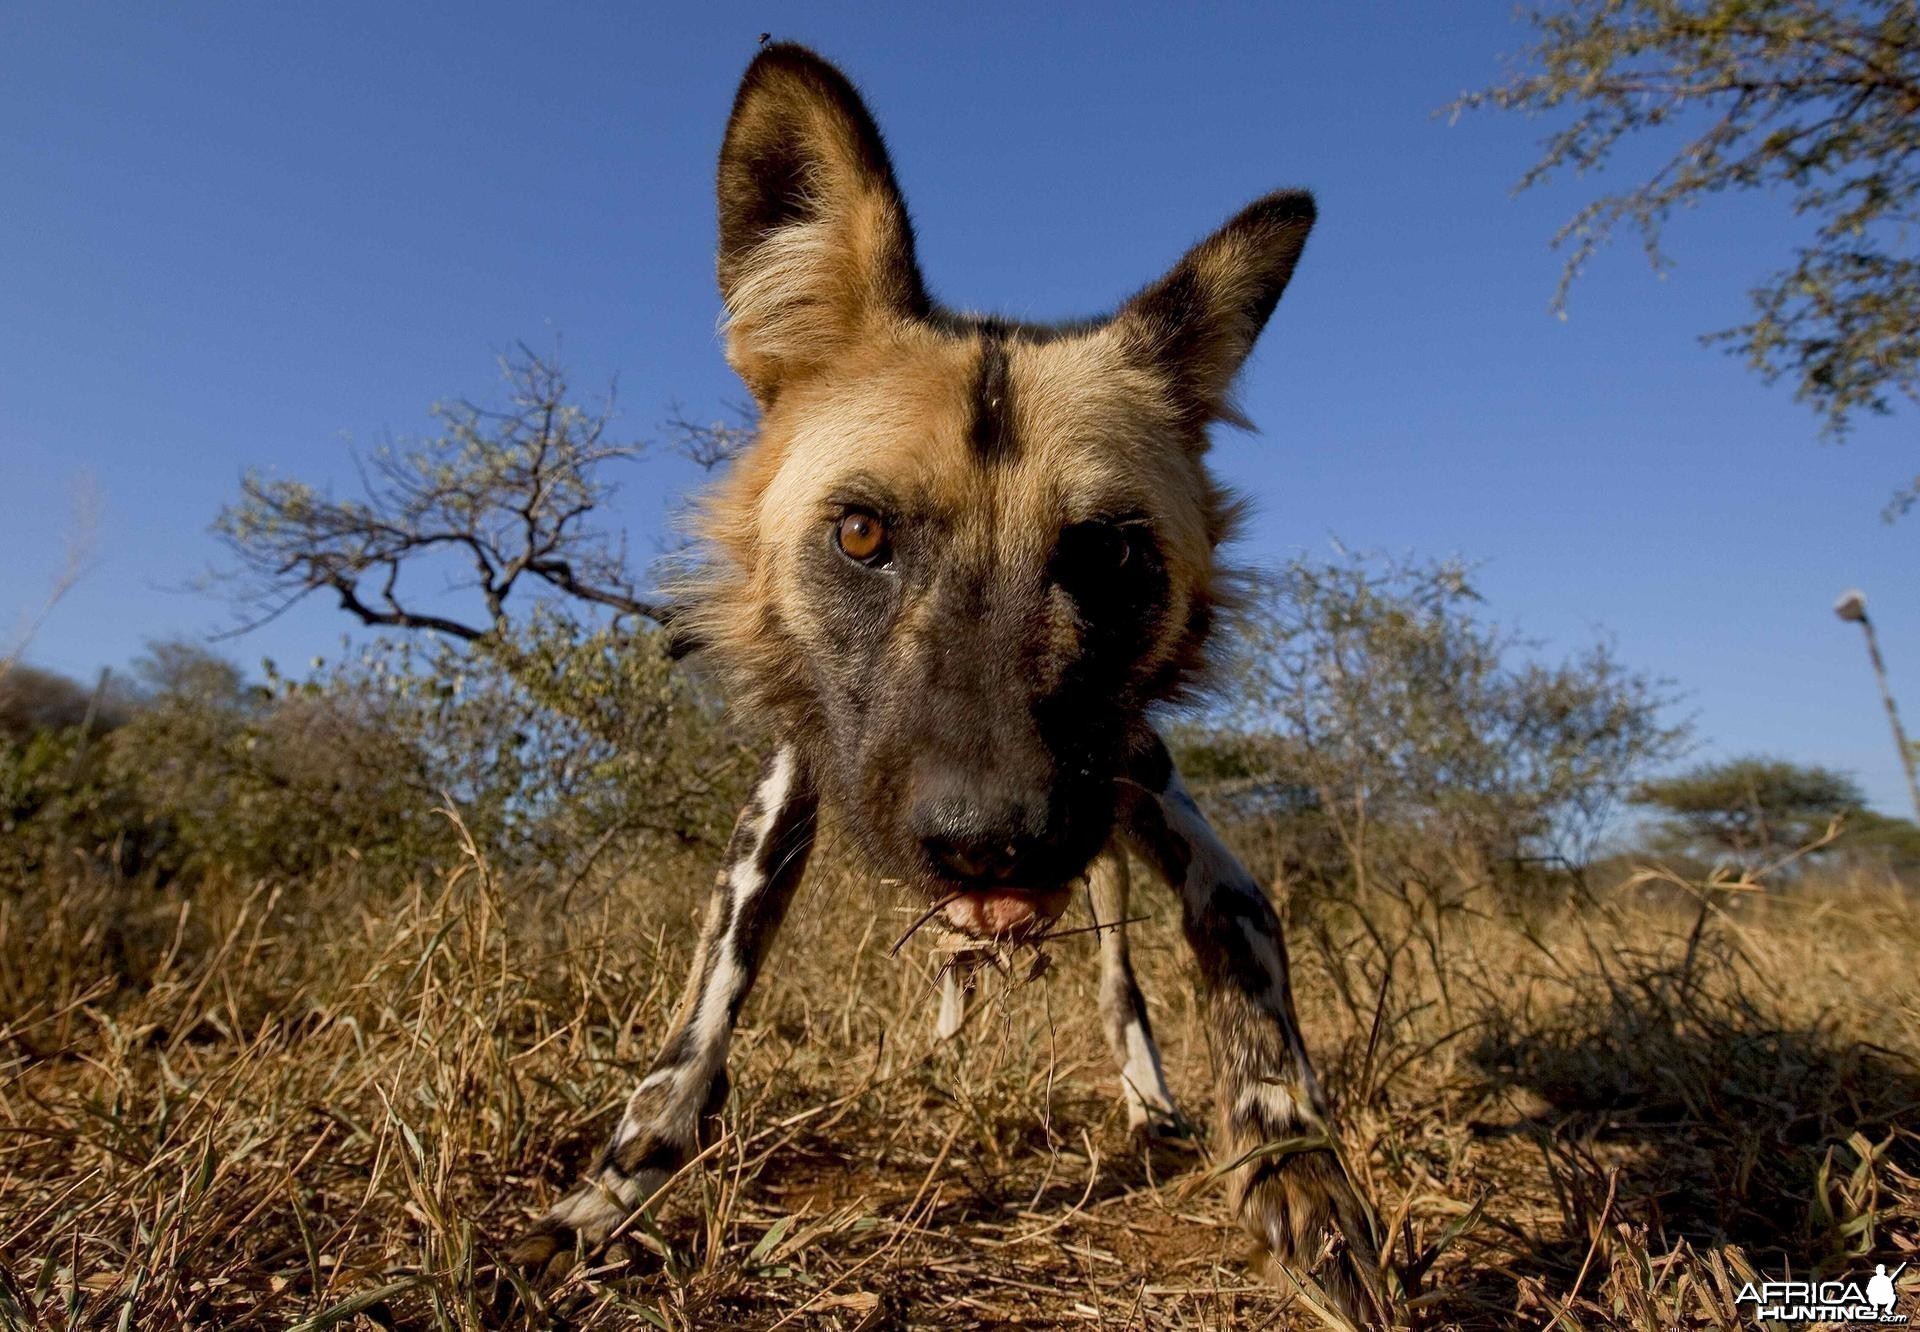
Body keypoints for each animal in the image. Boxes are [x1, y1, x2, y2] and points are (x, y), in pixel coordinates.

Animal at [518, 41, 1390, 1328]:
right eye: (863, 535)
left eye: (1105, 554)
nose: (991, 842)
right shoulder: (798, 775)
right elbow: (703, 1017)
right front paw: (605, 1200)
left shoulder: (1133, 775)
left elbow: (1238, 918)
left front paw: (1294, 1161)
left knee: (1118, 978)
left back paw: (1150, 1104)